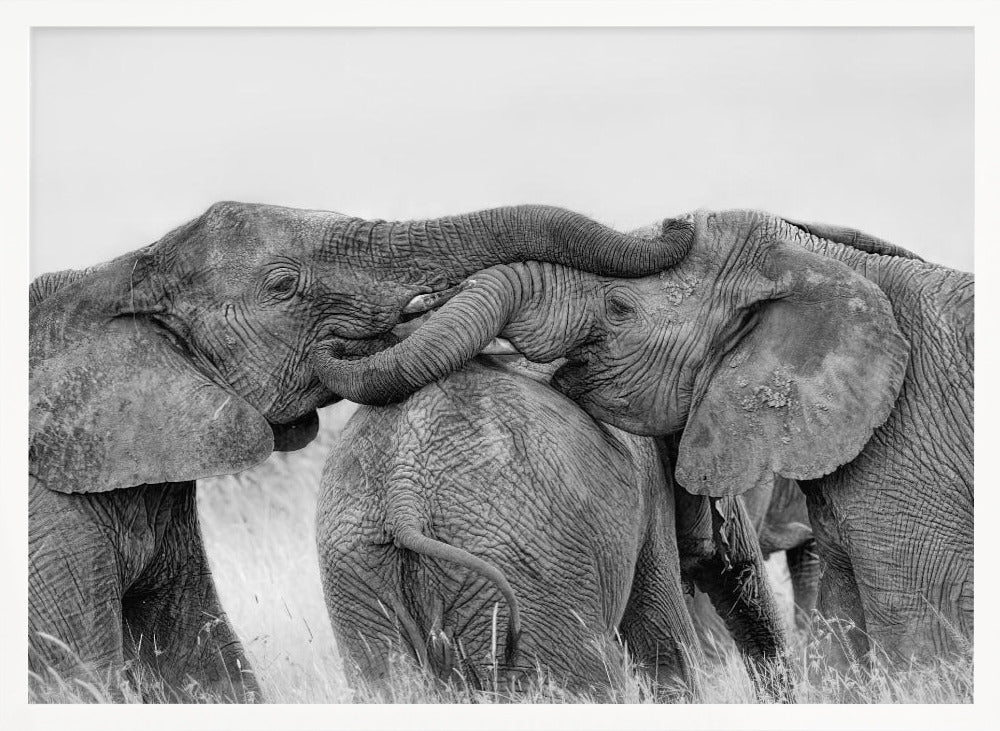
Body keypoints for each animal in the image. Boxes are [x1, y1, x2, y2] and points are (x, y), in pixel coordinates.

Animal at [28, 201, 693, 702]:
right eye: (282, 286)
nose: (678, 223)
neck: (110, 279)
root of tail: (404, 492)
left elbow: (198, 657)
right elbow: (78, 677)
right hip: (531, 564)